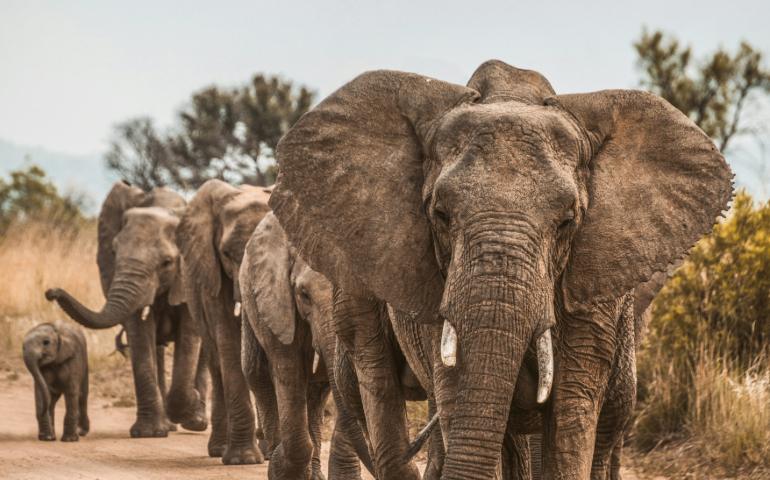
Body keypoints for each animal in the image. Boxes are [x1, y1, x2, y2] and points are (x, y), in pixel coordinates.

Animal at [45, 181, 208, 438]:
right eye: (113, 253)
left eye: (167, 263)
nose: (51, 292)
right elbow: (139, 335)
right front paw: (149, 433)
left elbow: (190, 336)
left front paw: (189, 404)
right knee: (157, 348)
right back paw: (169, 424)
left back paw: (196, 422)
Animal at [175, 179, 272, 464]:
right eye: (227, 254)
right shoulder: (211, 271)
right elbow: (227, 339)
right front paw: (244, 460)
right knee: (216, 361)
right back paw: (220, 449)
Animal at [240, 212, 376, 480]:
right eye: (303, 294)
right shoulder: (277, 300)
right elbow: (288, 372)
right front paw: (279, 468)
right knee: (256, 373)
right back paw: (274, 450)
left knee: (317, 391)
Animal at [267, 60, 733, 479]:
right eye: (440, 215)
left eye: (568, 222)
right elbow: (460, 391)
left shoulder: (594, 277)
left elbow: (572, 411)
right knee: (379, 381)